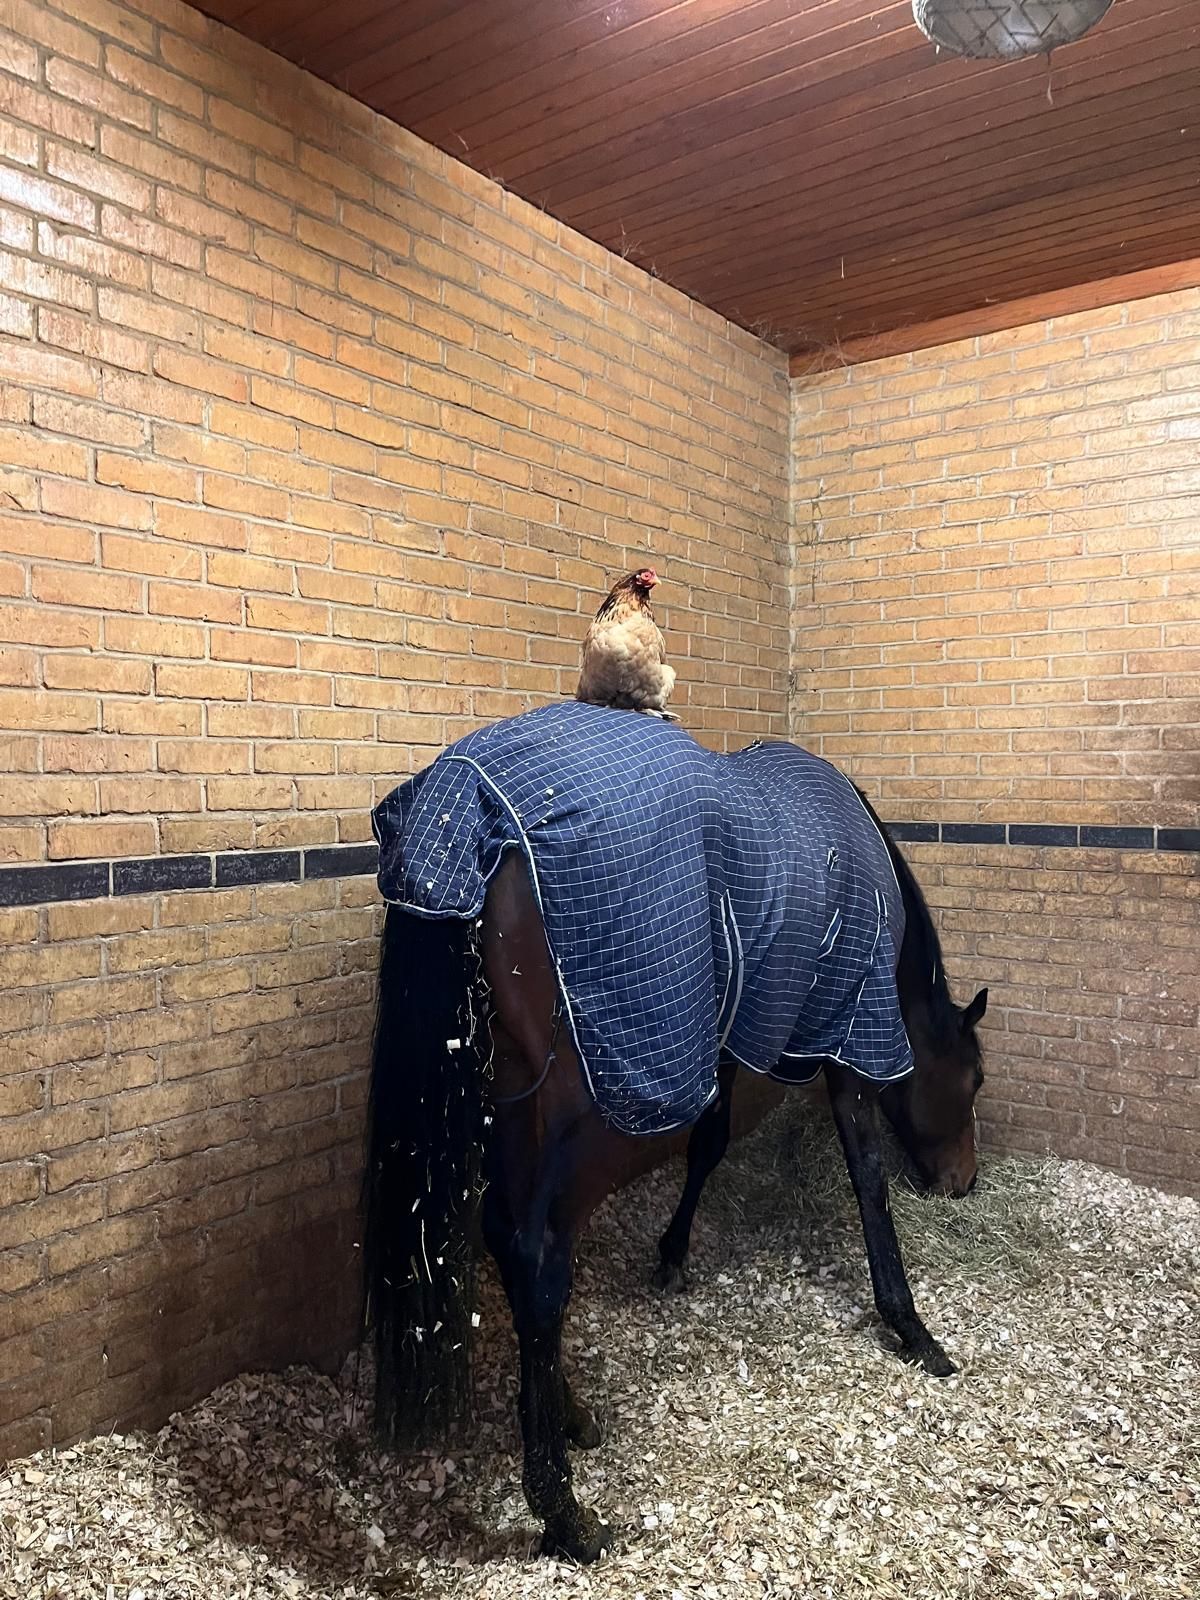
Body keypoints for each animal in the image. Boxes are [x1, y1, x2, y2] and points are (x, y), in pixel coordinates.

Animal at [363, 738, 988, 1565]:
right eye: (973, 1079)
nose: (965, 1180)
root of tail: (466, 808)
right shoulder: (851, 1038)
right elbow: (867, 1177)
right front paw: (911, 1327)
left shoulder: (727, 1041)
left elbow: (711, 1144)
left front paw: (673, 1252)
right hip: (595, 1109)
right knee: (536, 1256)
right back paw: (563, 1512)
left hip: (508, 1097)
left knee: (500, 1236)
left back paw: (568, 1413)